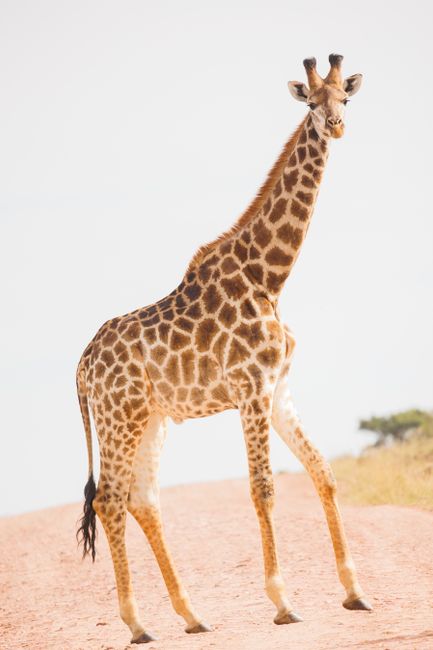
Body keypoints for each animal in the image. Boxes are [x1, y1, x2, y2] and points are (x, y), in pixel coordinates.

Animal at [77, 54, 369, 644]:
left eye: (345, 99)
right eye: (311, 102)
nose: (336, 126)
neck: (269, 277)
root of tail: (82, 365)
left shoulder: (278, 389)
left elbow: (323, 472)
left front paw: (354, 591)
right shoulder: (251, 388)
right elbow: (262, 488)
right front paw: (283, 602)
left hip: (151, 418)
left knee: (142, 499)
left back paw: (191, 616)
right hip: (119, 417)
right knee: (109, 499)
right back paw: (138, 624)